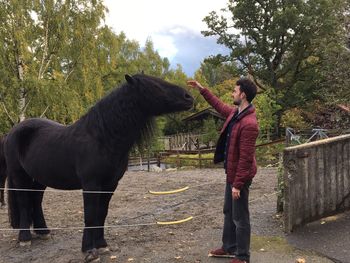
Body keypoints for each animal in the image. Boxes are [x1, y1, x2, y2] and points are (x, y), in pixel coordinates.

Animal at [0, 74, 193, 262]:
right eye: (154, 85)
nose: (189, 97)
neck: (102, 137)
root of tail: (13, 132)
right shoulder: (91, 185)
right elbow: (90, 214)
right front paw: (89, 250)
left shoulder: (110, 184)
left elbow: (102, 213)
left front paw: (102, 245)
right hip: (19, 175)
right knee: (24, 202)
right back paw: (25, 238)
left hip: (39, 178)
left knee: (36, 200)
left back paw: (43, 232)